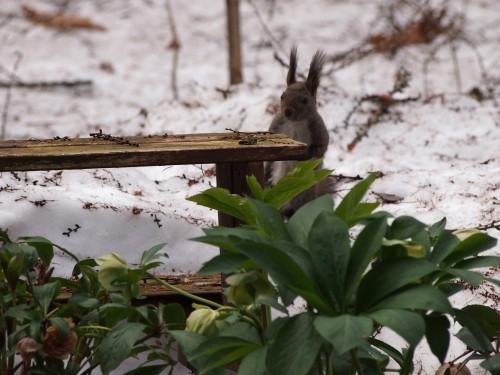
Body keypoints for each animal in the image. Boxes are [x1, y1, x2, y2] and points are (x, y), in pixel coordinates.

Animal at [264, 46, 330, 219]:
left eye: (305, 100)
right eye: (282, 96)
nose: (287, 111)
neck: (296, 123)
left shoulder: (319, 130)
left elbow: (322, 147)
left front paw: (311, 151)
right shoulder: (277, 126)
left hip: (306, 196)